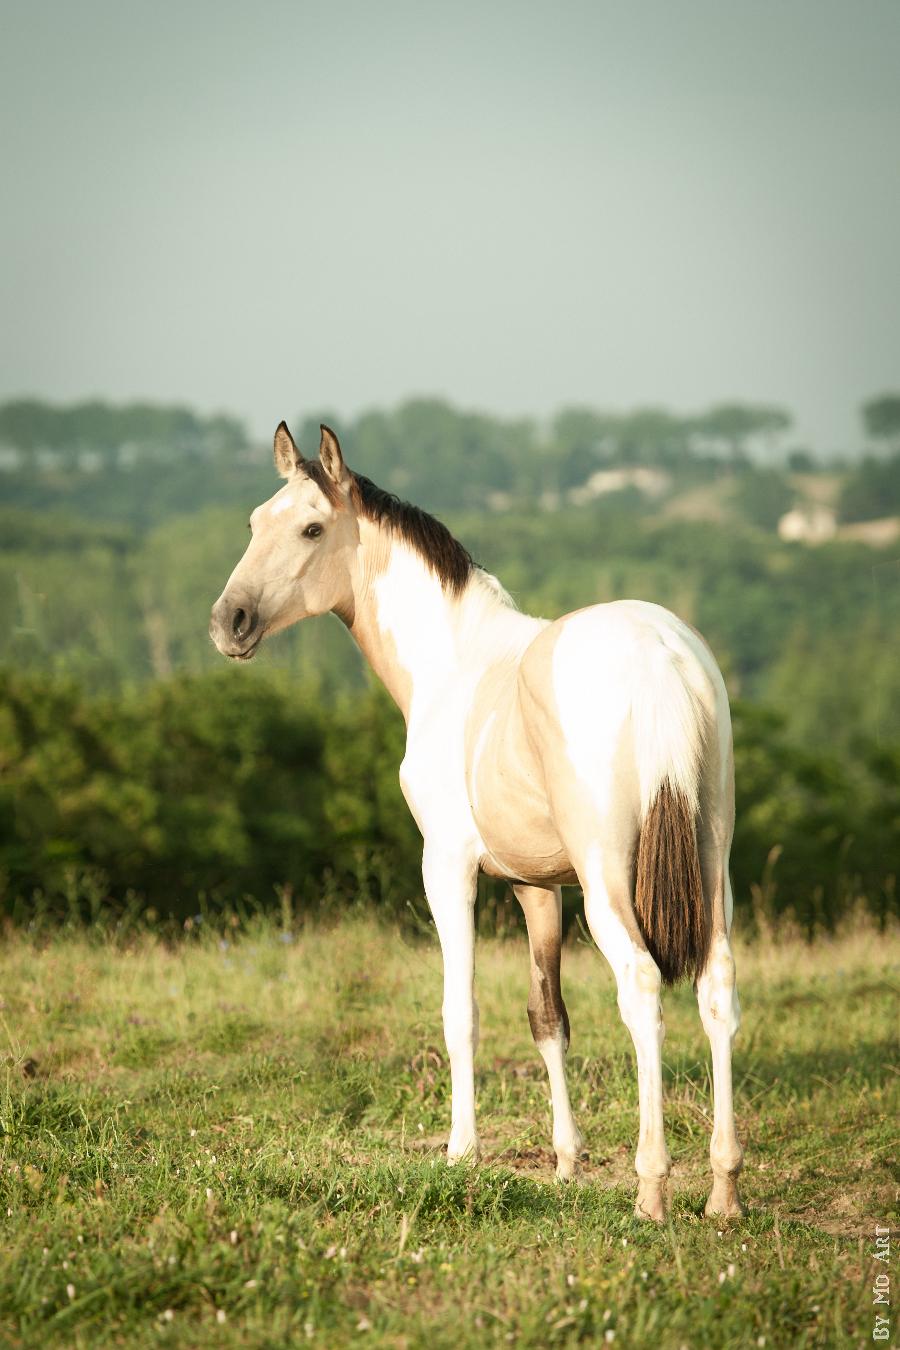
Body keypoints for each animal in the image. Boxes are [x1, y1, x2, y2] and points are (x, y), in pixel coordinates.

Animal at [209, 421, 744, 1225]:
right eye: (251, 523)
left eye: (311, 527)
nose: (229, 622)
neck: (456, 664)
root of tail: (659, 659)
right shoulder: (536, 887)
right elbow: (547, 1017)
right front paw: (565, 1162)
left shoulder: (449, 868)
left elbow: (459, 1012)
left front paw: (461, 1151)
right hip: (711, 869)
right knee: (716, 989)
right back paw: (723, 1189)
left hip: (608, 885)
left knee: (643, 988)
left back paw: (652, 1188)